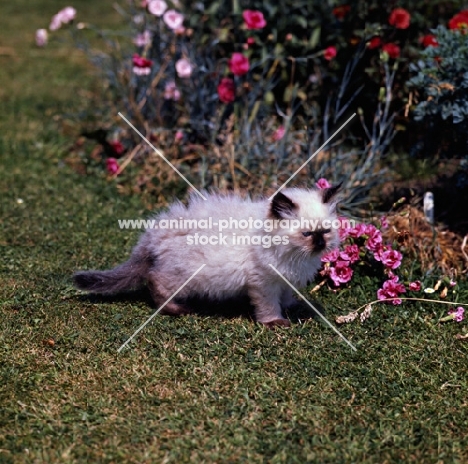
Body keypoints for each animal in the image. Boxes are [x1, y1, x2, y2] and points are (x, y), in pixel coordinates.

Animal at [75, 184, 342, 326]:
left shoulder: (284, 279)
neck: (293, 256)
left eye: (325, 231)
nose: (320, 243)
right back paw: (176, 309)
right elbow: (269, 306)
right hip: (185, 276)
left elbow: (285, 297)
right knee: (155, 281)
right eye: (307, 234)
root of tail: (155, 231)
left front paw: (293, 307)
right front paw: (275, 322)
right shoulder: (263, 282)